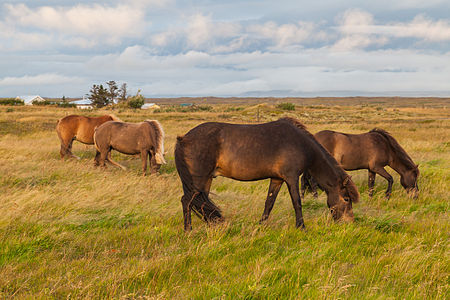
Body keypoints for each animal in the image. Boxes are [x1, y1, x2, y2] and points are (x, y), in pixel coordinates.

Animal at [174, 116, 360, 231]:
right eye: (346, 199)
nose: (350, 223)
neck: (301, 144)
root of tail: (184, 138)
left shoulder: (277, 179)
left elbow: (269, 203)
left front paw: (261, 225)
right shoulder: (291, 178)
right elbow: (297, 203)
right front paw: (301, 227)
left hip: (206, 180)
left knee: (201, 202)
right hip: (198, 180)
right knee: (187, 201)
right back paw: (188, 230)